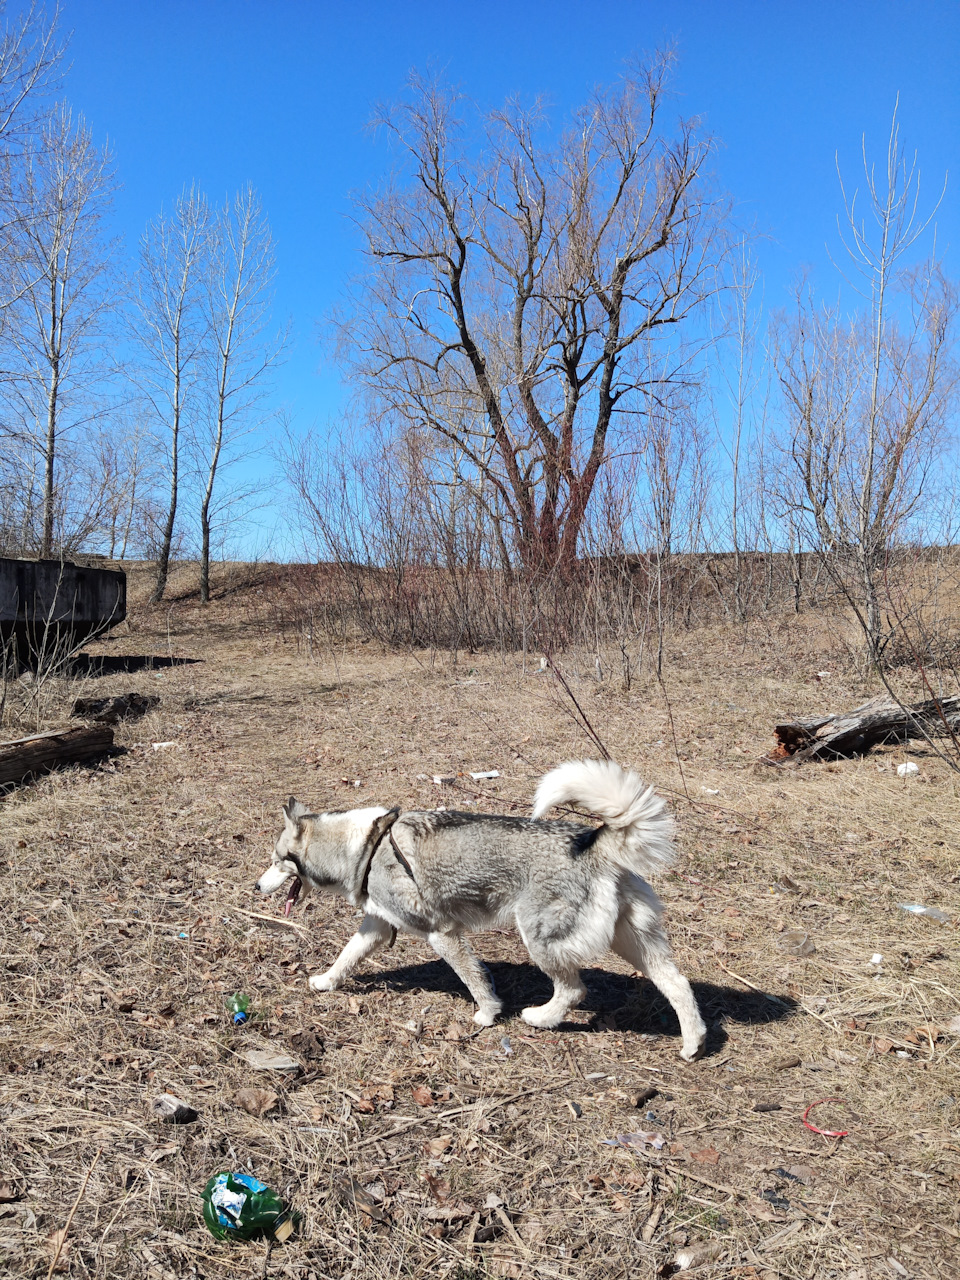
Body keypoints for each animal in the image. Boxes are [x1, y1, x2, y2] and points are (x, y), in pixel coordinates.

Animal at [259, 757, 711, 1059]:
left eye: (278, 860)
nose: (256, 886)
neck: (366, 846)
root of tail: (593, 841)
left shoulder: (443, 934)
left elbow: (474, 979)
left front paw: (487, 1016)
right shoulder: (377, 926)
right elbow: (346, 956)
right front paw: (325, 982)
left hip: (540, 939)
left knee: (575, 989)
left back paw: (540, 1018)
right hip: (633, 944)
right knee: (679, 985)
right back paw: (693, 1044)